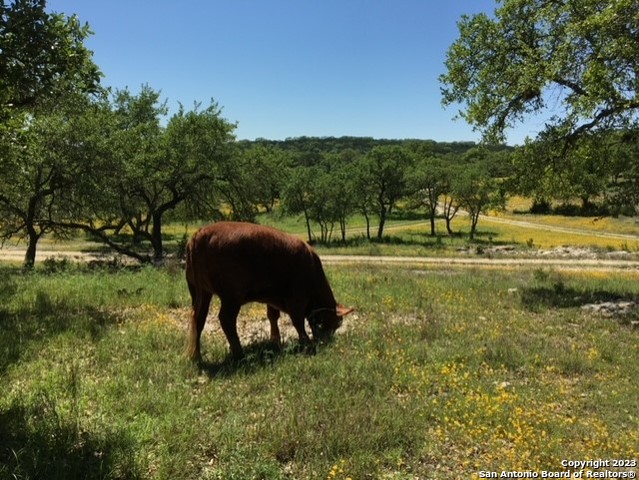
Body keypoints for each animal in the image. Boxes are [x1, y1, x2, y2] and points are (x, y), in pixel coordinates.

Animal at [185, 221, 356, 360]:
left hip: (199, 291)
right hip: (231, 294)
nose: (324, 341)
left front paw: (275, 341)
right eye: (335, 323)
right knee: (225, 319)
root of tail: (200, 233)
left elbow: (273, 315)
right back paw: (240, 354)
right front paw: (306, 343)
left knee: (198, 317)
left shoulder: (272, 297)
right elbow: (297, 320)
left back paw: (195, 356)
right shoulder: (297, 296)